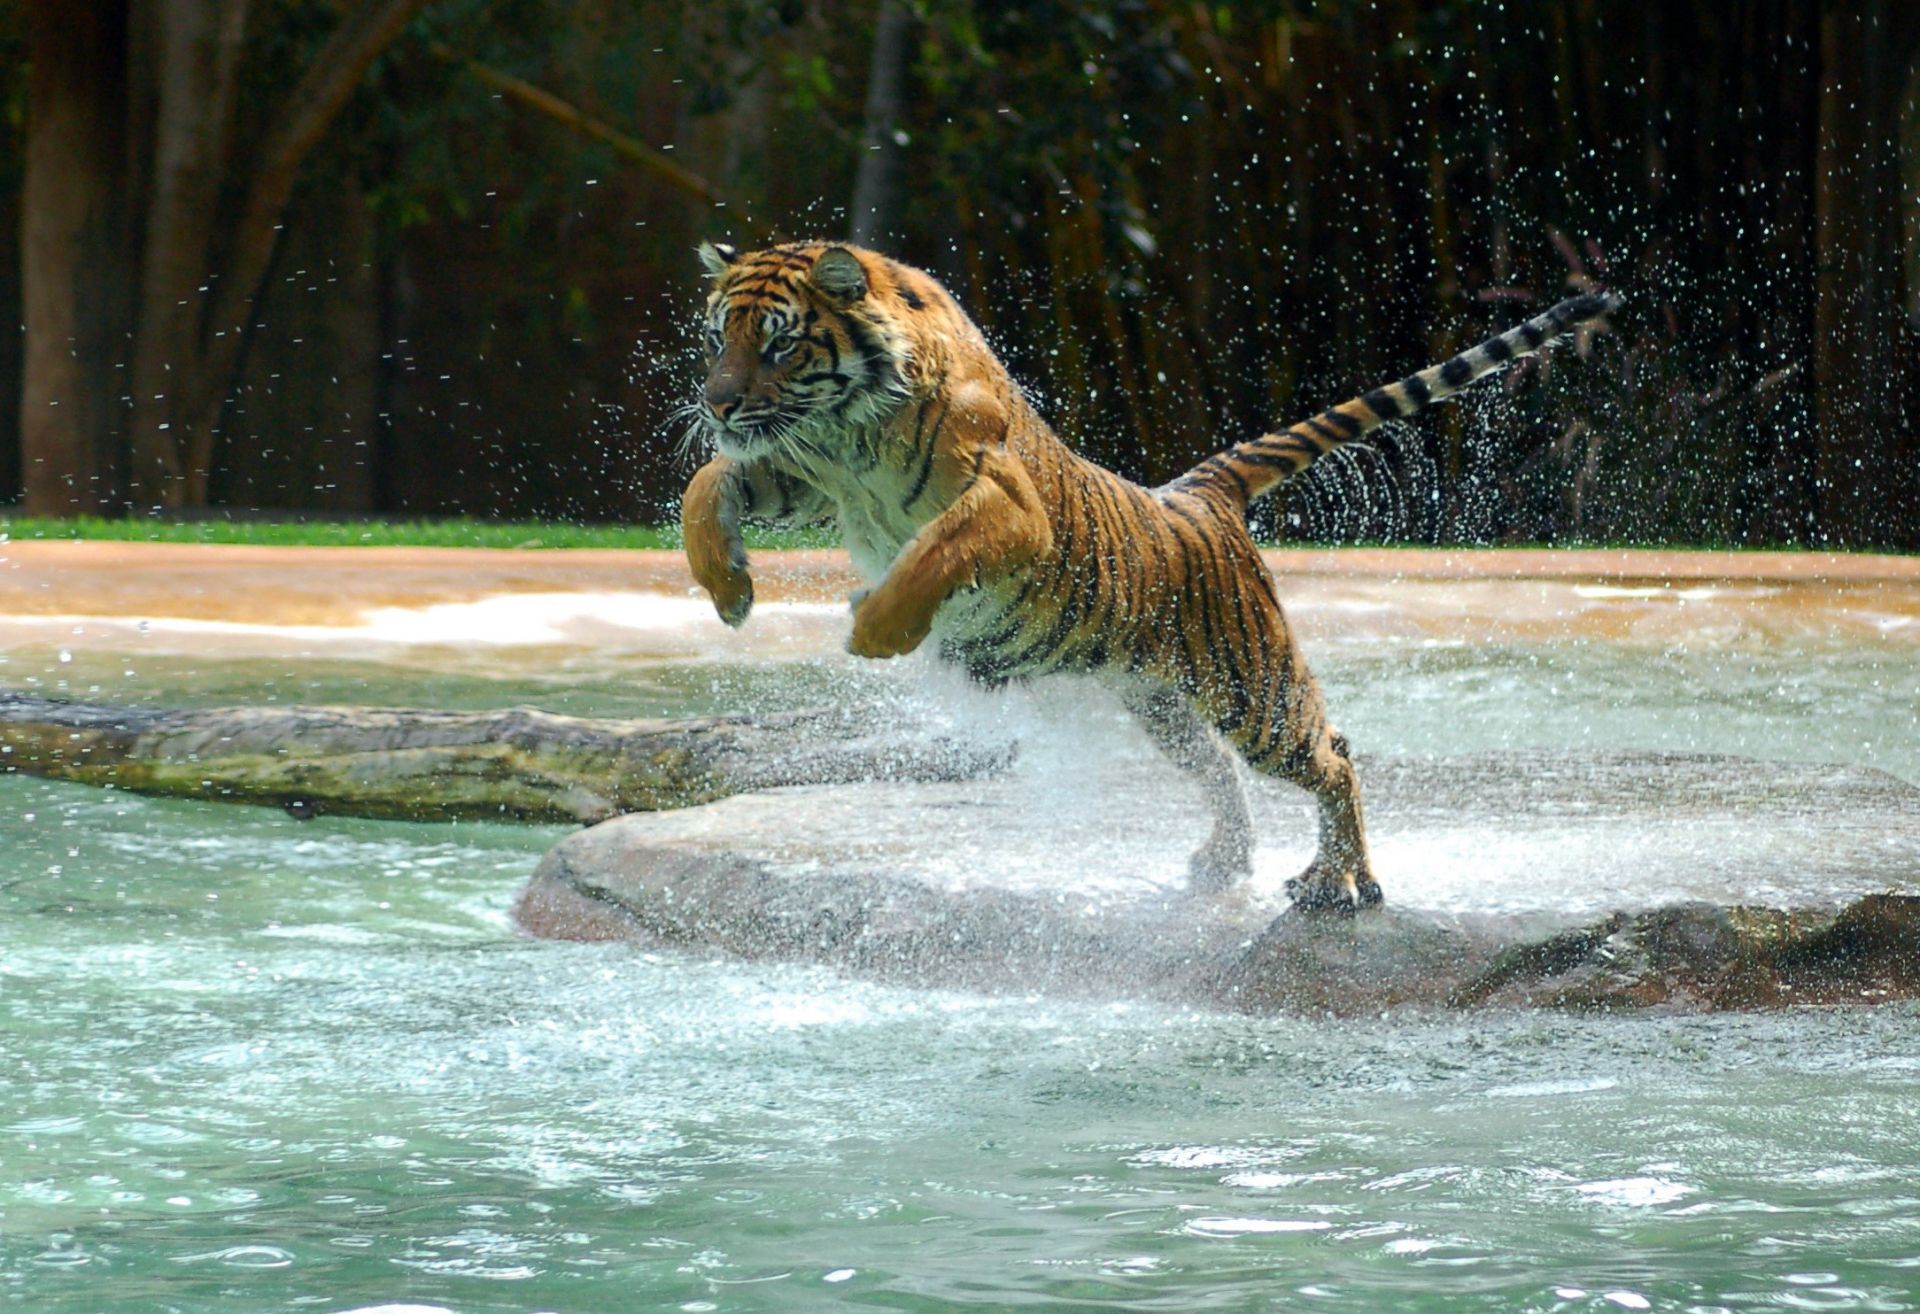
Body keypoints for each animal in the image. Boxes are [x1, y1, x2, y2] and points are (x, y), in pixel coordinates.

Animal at [683, 236, 1612, 914]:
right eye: (719, 337)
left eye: (779, 342)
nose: (715, 403)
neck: (848, 432)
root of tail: (1199, 493)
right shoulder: (801, 474)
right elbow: (708, 483)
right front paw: (729, 588)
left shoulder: (1008, 507)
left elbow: (932, 554)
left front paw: (874, 628)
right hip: (1161, 701)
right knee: (1220, 773)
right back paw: (1222, 865)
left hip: (1253, 689)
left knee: (1333, 755)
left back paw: (1339, 881)